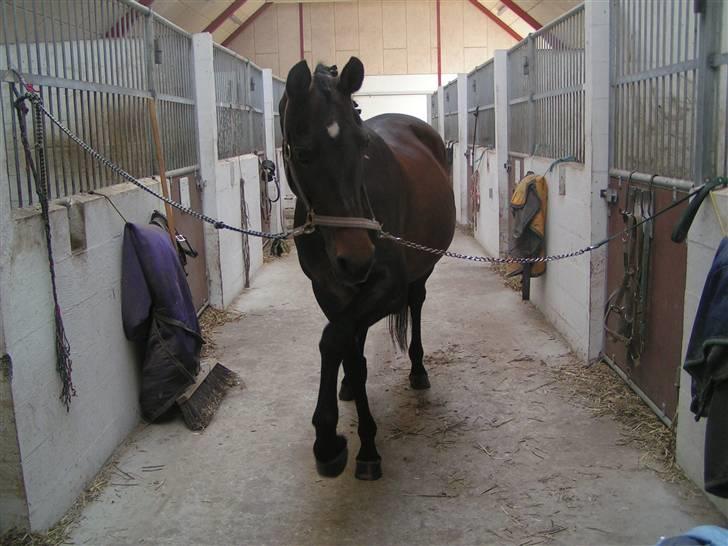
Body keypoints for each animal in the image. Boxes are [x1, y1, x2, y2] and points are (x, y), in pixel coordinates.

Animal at [279, 57, 455, 480]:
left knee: (416, 304)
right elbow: (346, 348)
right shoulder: (328, 289)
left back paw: (418, 370)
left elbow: (335, 342)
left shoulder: (387, 289)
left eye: (362, 146)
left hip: (420, 273)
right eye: (304, 153)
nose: (358, 257)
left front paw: (336, 443)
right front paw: (354, 436)